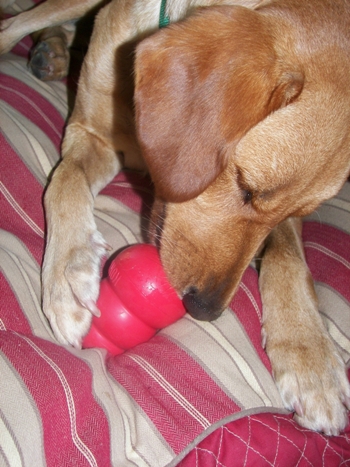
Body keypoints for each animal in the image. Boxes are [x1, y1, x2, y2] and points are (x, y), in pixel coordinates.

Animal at [0, 0, 350, 436]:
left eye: (302, 211)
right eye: (246, 186)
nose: (205, 310)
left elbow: (287, 254)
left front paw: (309, 353)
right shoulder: (89, 132)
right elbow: (63, 181)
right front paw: (69, 269)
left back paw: (55, 47)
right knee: (14, 25)